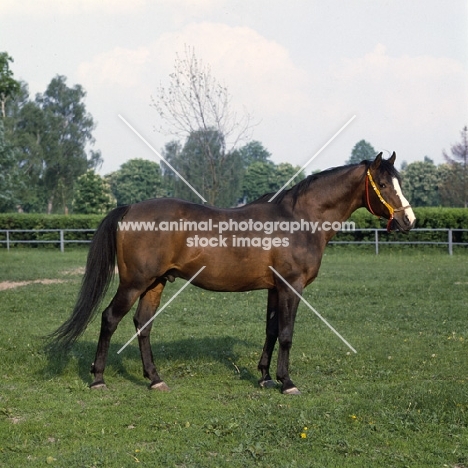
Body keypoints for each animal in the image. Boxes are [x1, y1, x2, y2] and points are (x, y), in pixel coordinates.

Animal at [51, 154, 414, 394]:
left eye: (400, 182)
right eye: (383, 184)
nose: (408, 220)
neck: (300, 219)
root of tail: (129, 209)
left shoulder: (274, 288)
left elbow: (271, 331)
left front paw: (265, 376)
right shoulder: (291, 287)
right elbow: (286, 334)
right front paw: (286, 382)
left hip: (155, 283)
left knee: (143, 324)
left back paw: (155, 378)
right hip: (133, 283)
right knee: (110, 318)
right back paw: (98, 378)